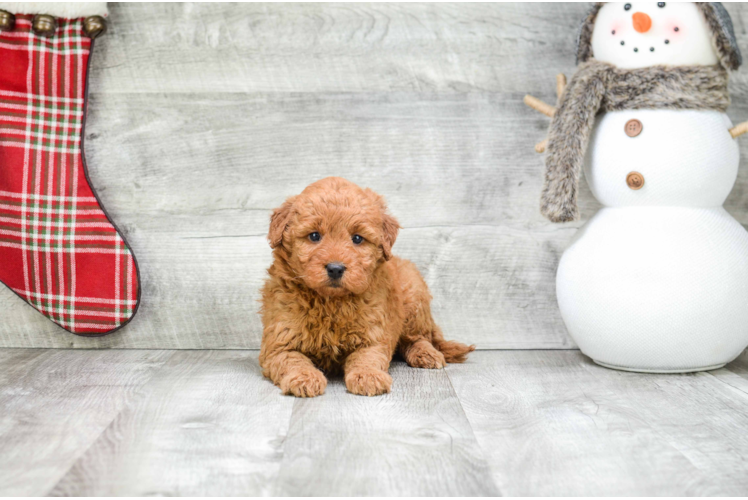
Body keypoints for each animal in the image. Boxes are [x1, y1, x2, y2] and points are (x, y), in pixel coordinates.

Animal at [260, 178, 476, 396]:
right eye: (314, 236)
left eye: (357, 238)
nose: (335, 268)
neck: (331, 302)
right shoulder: (279, 341)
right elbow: (292, 359)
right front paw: (304, 377)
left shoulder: (374, 335)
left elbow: (367, 357)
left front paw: (368, 376)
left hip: (414, 297)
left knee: (418, 337)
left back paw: (426, 354)